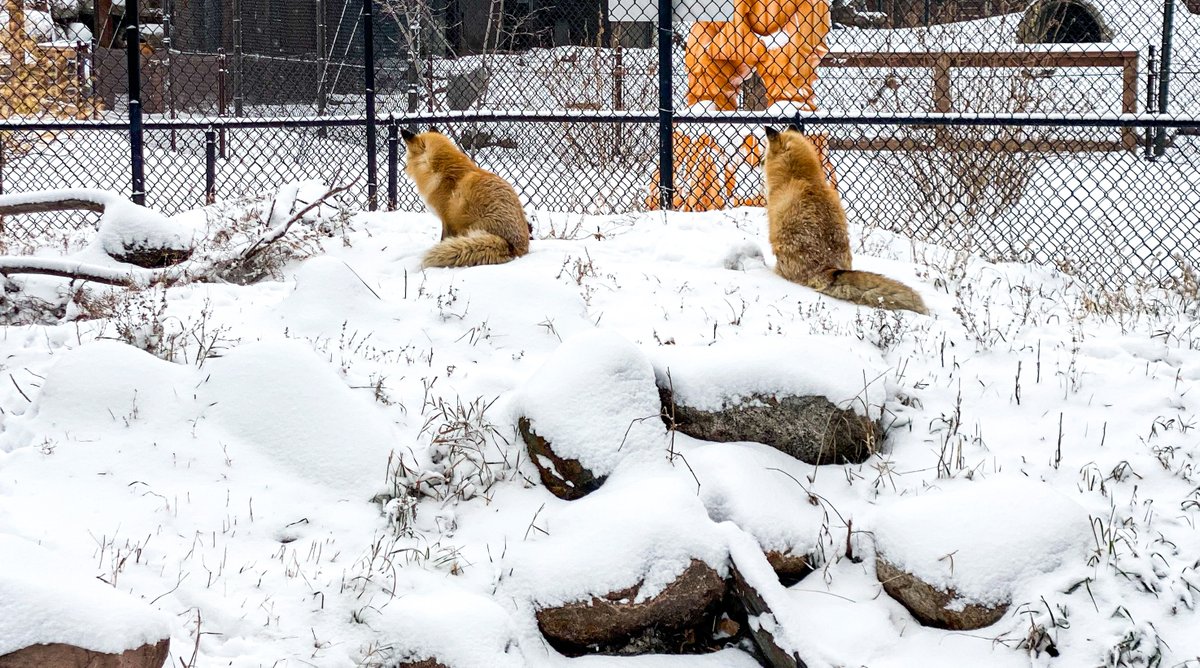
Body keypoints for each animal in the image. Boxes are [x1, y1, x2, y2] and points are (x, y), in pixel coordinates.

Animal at [401, 129, 530, 268]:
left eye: (407, 156)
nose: (404, 169)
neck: (443, 173)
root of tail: (513, 248)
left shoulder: (447, 219)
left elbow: (443, 240)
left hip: (469, 228)